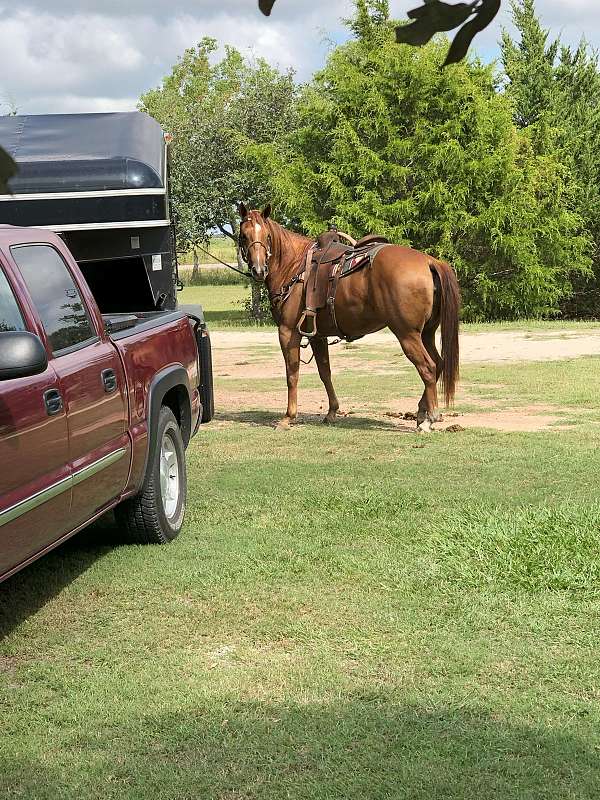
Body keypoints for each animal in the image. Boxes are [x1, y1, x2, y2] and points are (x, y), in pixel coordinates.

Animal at [238, 203, 460, 434]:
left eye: (267, 235)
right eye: (244, 235)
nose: (259, 269)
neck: (294, 266)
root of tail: (429, 261)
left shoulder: (287, 331)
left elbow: (292, 374)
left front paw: (288, 417)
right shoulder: (317, 335)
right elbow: (324, 372)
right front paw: (332, 412)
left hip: (407, 334)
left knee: (428, 368)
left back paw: (428, 419)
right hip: (426, 333)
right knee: (438, 364)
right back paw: (421, 412)